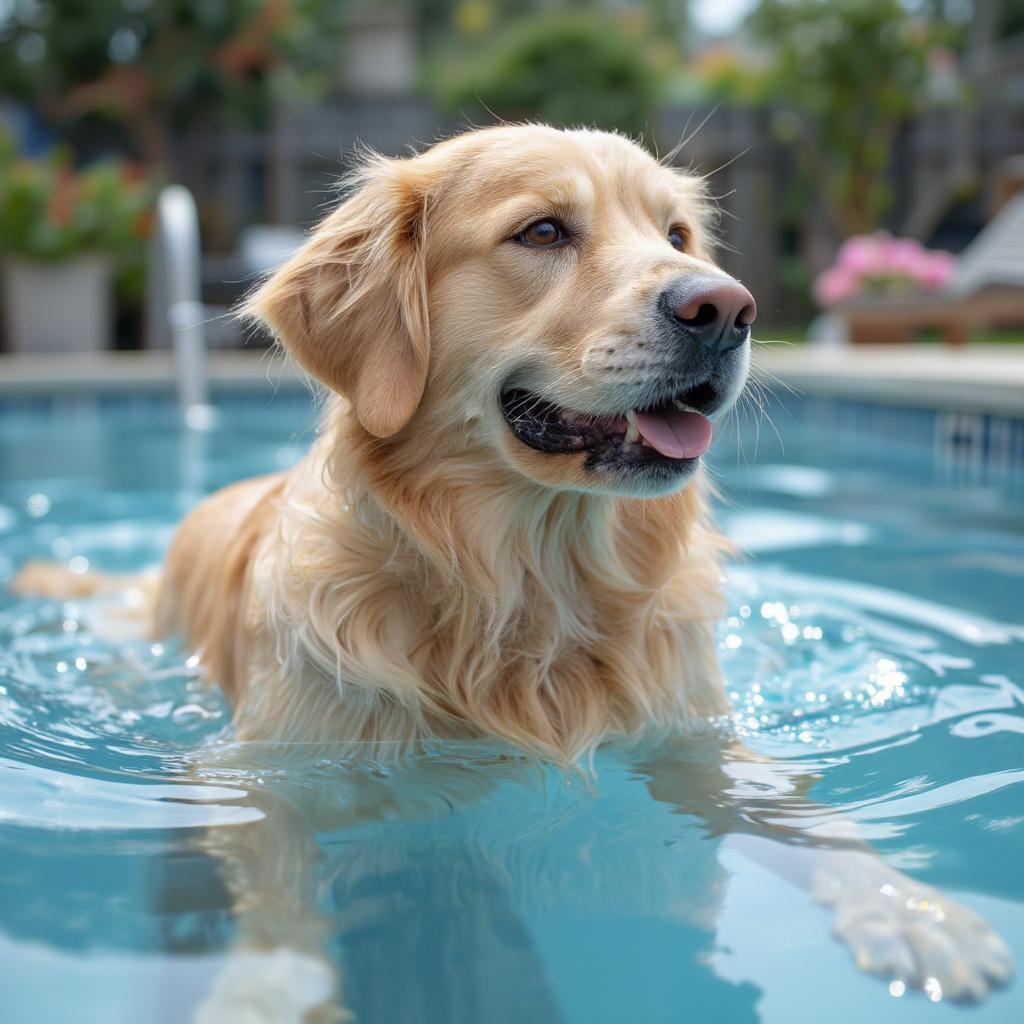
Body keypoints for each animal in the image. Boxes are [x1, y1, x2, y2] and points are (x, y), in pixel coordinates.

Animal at [12, 128, 1011, 1015]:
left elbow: (808, 813)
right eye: (542, 232)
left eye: (677, 237)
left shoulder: (694, 737)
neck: (531, 586)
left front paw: (913, 911)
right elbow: (277, 890)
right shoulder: (262, 772)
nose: (727, 309)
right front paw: (265, 990)